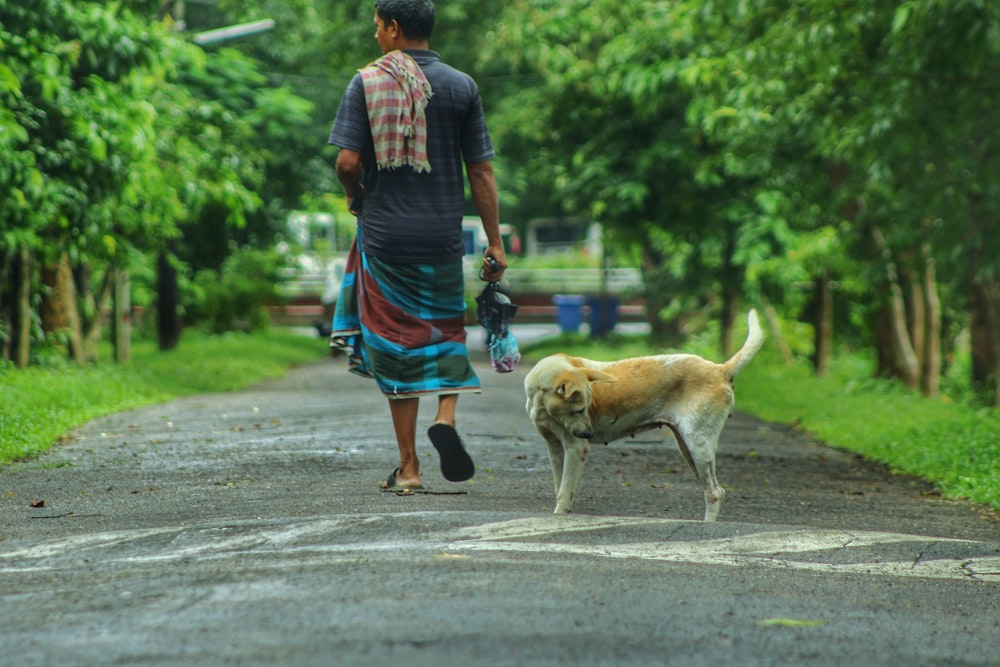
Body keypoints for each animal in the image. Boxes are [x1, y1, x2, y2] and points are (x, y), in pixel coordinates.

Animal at [524, 310, 764, 524]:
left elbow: (564, 491)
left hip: (699, 446)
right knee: (710, 490)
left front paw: (560, 515)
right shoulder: (554, 447)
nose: (589, 434)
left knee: (715, 492)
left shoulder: (576, 449)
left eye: (585, 408)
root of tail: (720, 369)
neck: (541, 398)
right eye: (578, 410)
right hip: (688, 449)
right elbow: (559, 485)